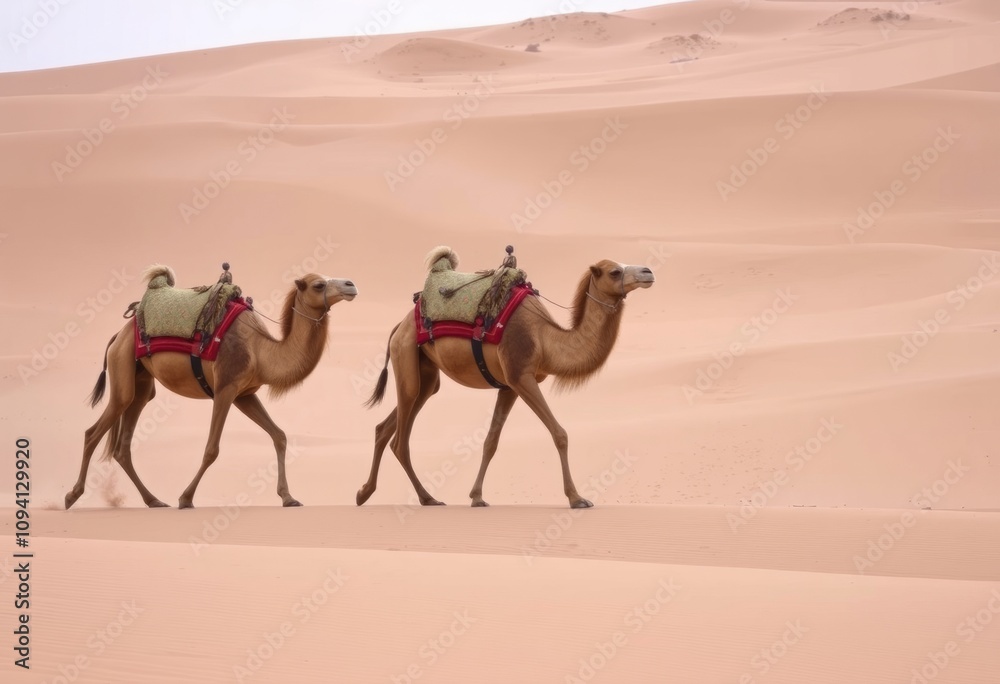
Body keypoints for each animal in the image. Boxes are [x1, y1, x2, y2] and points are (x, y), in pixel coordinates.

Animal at [65, 265, 357, 510]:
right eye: (318, 285)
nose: (351, 284)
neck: (260, 350)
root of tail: (119, 334)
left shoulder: (245, 395)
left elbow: (280, 436)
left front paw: (288, 497)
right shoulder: (225, 388)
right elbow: (211, 449)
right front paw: (185, 498)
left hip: (142, 383)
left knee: (122, 445)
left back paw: (154, 500)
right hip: (122, 367)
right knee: (93, 432)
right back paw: (71, 496)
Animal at [357, 247, 654, 509]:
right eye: (614, 271)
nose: (648, 272)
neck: (545, 339)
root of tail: (400, 325)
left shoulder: (509, 387)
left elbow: (491, 441)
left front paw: (477, 497)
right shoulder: (521, 376)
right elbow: (560, 433)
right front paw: (577, 498)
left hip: (427, 375)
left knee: (388, 425)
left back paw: (368, 493)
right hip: (406, 356)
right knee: (400, 439)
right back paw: (424, 497)